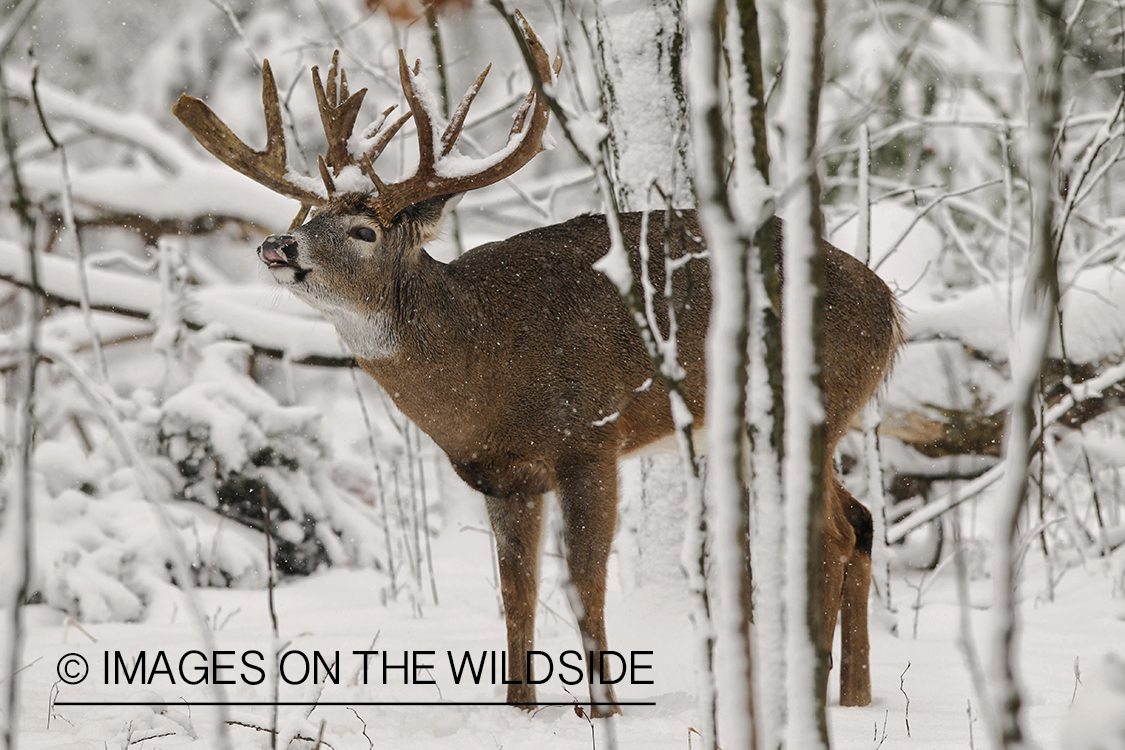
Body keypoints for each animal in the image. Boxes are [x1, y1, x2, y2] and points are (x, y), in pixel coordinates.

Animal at [173, 11, 895, 715]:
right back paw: (855, 696)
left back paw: (812, 695)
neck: (484, 362)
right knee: (860, 521)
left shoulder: (591, 437)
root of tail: (889, 305)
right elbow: (515, 591)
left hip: (808, 406)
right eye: (306, 211)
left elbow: (584, 579)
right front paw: (520, 708)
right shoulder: (504, 476)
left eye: (363, 231)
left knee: (832, 533)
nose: (277, 244)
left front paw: (602, 712)